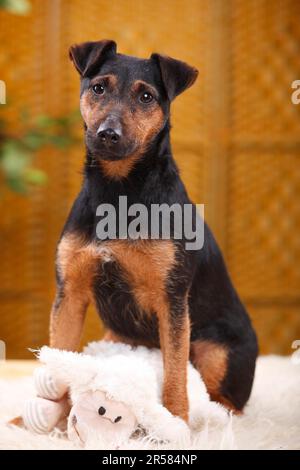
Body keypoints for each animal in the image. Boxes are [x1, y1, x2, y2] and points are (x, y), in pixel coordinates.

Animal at [49, 41, 258, 422]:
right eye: (98, 88)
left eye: (146, 96)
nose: (108, 134)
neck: (119, 192)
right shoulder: (70, 293)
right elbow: (58, 363)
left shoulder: (171, 301)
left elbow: (175, 375)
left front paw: (175, 423)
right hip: (116, 336)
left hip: (215, 351)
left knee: (225, 401)